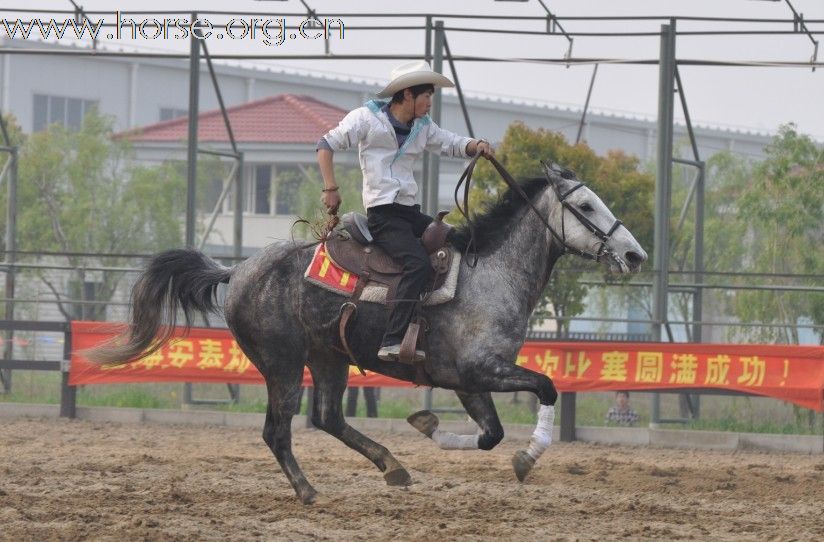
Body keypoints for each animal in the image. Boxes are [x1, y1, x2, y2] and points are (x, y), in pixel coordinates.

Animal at [87, 160, 648, 506]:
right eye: (586, 207)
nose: (635, 254)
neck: (490, 274)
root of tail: (238, 270)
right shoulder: (480, 370)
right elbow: (545, 390)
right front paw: (527, 459)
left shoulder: (469, 381)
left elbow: (490, 435)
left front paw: (426, 424)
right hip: (283, 363)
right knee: (279, 430)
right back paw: (310, 492)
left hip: (328, 358)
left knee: (329, 417)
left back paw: (392, 466)